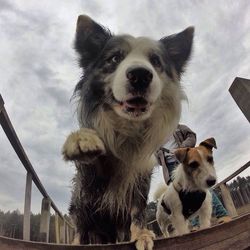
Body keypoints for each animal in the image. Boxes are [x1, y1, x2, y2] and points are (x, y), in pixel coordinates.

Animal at [62, 14, 193, 249]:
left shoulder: (141, 178)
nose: (140, 75)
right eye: (115, 58)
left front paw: (141, 235)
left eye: (156, 61)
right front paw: (81, 139)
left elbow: (137, 210)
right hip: (80, 211)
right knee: (80, 229)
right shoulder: (88, 186)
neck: (127, 129)